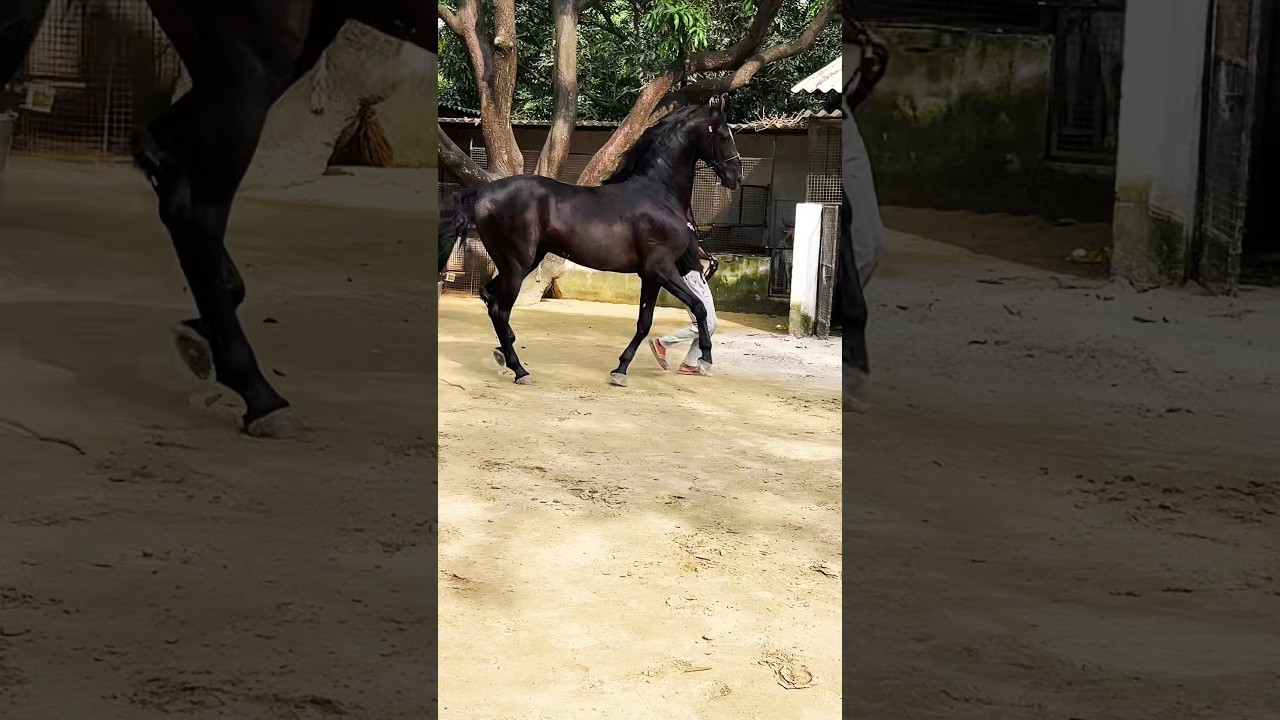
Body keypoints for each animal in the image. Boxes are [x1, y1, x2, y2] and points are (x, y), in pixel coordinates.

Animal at [437, 104, 743, 387]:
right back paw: (520, 370)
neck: (658, 195)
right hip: (517, 265)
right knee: (499, 309)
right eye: (724, 135)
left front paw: (620, 370)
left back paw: (505, 351)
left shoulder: (651, 276)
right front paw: (705, 360)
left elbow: (645, 322)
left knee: (490, 297)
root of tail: (483, 192)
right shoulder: (663, 270)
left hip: (520, 262)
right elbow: (699, 308)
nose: (736, 177)